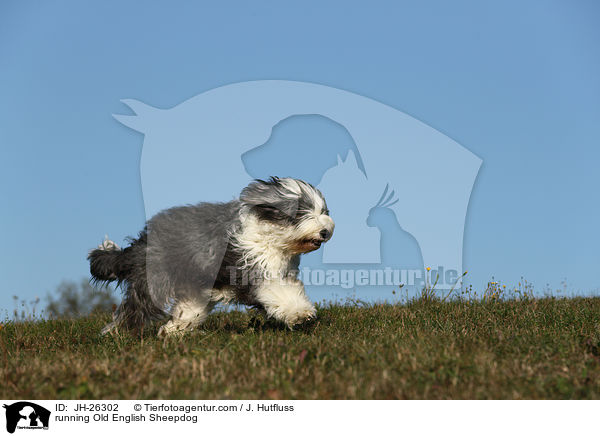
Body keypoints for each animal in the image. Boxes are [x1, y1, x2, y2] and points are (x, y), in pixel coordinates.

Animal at [87, 178, 336, 338]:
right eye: (302, 211)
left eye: (324, 211)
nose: (325, 232)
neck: (272, 237)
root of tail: (143, 240)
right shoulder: (253, 270)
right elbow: (278, 292)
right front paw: (301, 314)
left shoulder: (281, 272)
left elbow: (289, 289)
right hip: (154, 281)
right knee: (135, 308)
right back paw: (114, 334)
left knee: (187, 309)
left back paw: (172, 331)